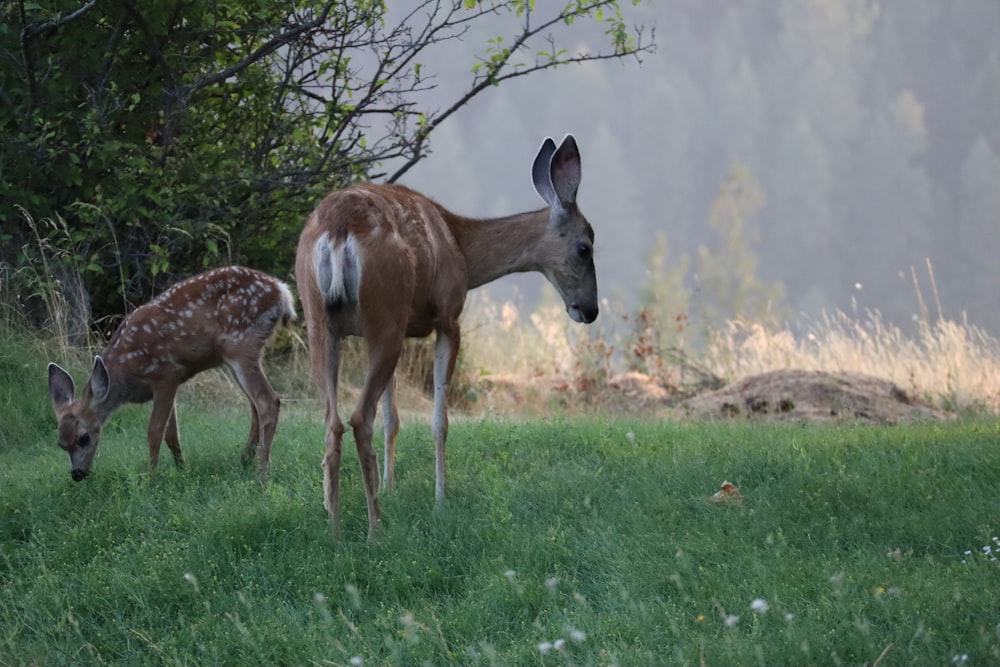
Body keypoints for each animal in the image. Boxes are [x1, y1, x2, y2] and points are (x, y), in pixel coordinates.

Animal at [47, 268, 294, 482]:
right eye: (61, 444)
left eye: (84, 438)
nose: (77, 474)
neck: (126, 374)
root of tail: (281, 291)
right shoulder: (168, 384)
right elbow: (171, 433)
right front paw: (182, 469)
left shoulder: (166, 374)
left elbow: (155, 430)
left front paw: (152, 476)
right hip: (235, 356)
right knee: (254, 405)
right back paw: (245, 459)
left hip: (240, 345)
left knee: (268, 401)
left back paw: (261, 473)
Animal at [292, 134, 596, 536]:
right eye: (585, 247)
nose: (590, 310)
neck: (462, 248)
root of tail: (338, 231)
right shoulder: (448, 318)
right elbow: (439, 421)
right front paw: (440, 498)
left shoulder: (402, 326)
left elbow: (393, 418)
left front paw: (391, 486)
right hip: (383, 309)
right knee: (359, 419)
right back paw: (374, 529)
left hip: (322, 319)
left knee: (333, 421)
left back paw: (335, 526)